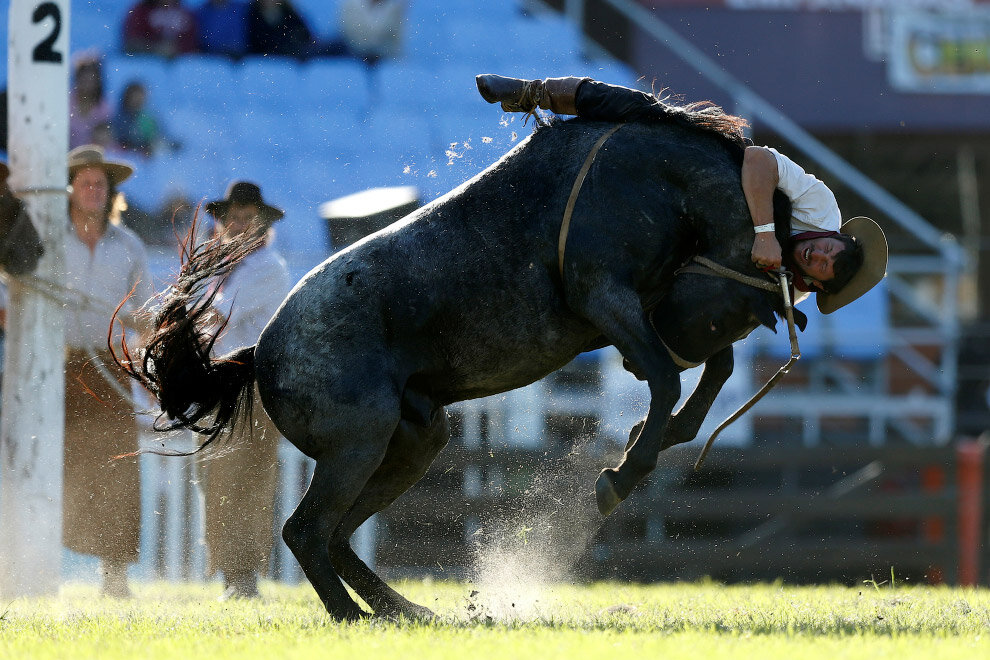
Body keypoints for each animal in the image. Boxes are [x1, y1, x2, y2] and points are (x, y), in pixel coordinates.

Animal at [122, 99, 808, 620]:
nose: (787, 311)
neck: (651, 175)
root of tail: (260, 349)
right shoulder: (608, 299)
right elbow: (669, 377)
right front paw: (621, 473)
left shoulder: (647, 307)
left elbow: (710, 371)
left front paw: (660, 434)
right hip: (357, 445)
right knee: (306, 531)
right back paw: (353, 617)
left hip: (413, 443)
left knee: (337, 534)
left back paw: (403, 610)